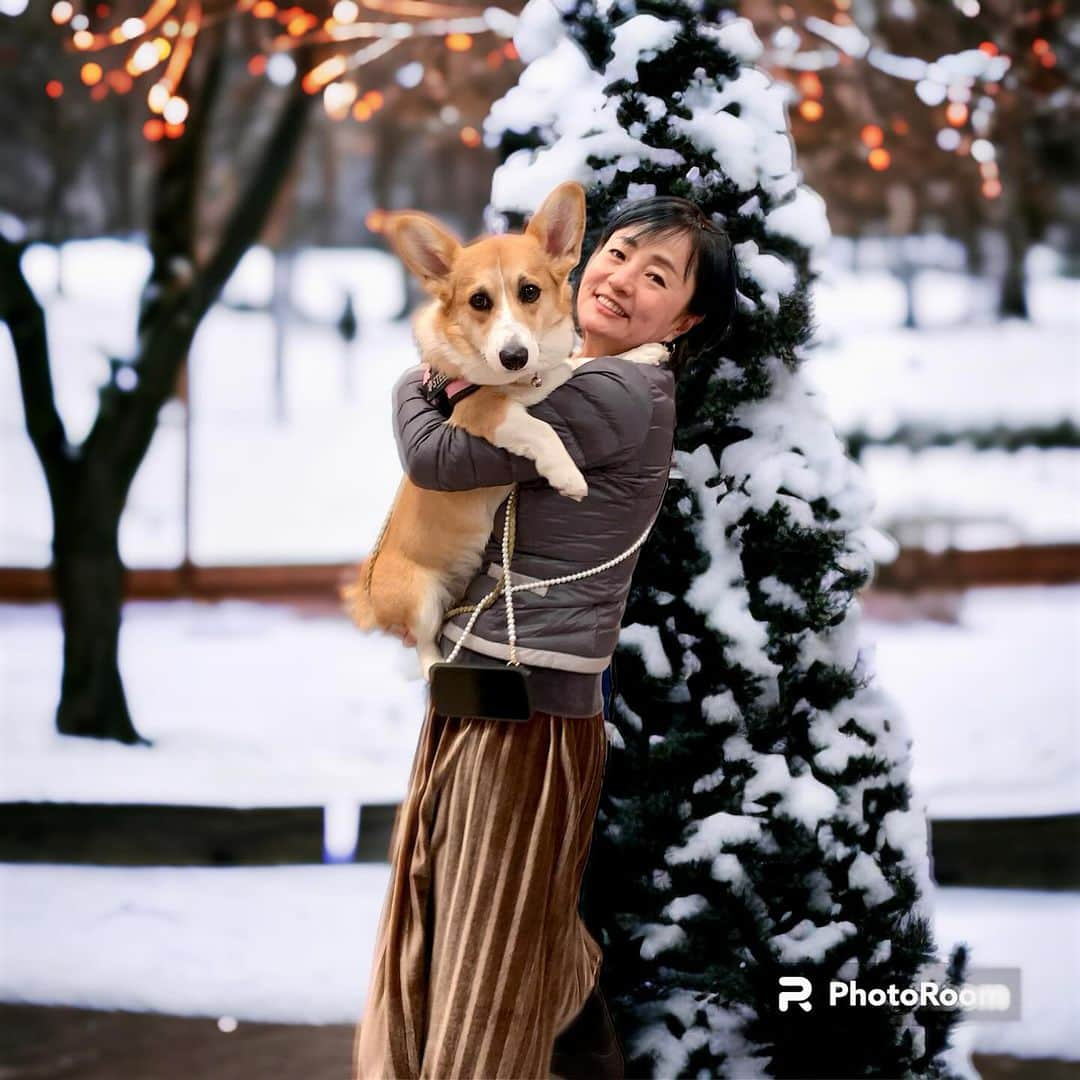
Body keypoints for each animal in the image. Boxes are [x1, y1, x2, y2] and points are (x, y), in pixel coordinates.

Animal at [345, 181, 665, 678]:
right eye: (479, 301)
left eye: (529, 291)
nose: (513, 356)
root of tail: (367, 602)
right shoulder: (481, 411)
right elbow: (543, 416)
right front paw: (567, 476)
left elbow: (579, 362)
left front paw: (644, 352)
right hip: (421, 596)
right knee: (425, 648)